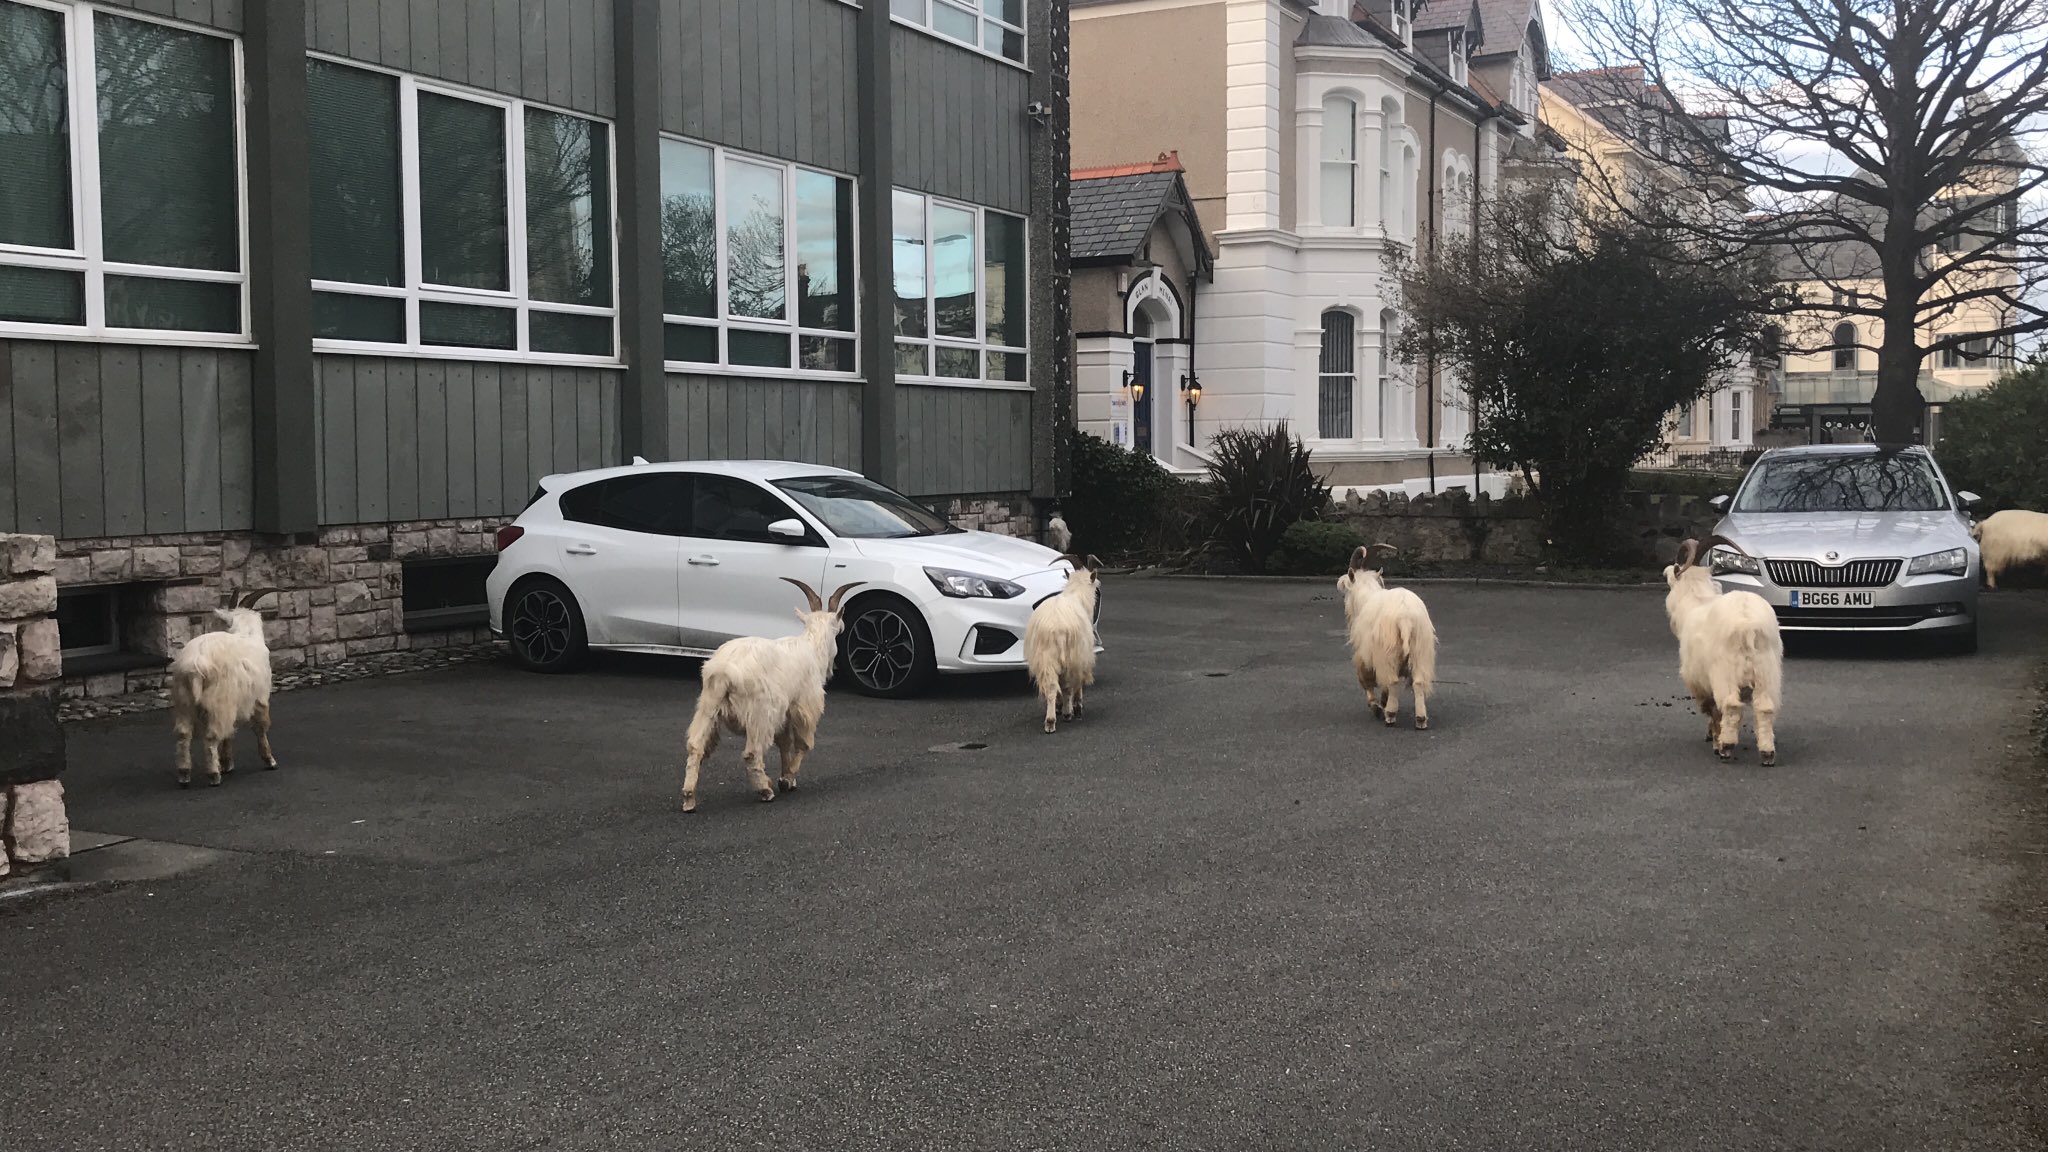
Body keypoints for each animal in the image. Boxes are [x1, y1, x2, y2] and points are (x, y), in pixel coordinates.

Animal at [169, 586, 280, 783]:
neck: (246, 635)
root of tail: (195, 667)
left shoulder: (234, 703)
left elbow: (228, 733)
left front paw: (227, 763)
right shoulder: (259, 697)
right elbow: (260, 728)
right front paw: (269, 760)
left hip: (184, 701)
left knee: (184, 734)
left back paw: (184, 773)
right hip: (218, 701)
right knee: (211, 736)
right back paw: (214, 774)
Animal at [679, 573, 856, 807]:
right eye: (840, 630)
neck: (811, 647)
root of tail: (724, 671)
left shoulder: (785, 712)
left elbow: (784, 743)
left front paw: (788, 779)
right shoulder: (804, 705)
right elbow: (803, 744)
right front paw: (787, 778)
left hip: (709, 706)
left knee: (695, 745)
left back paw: (689, 798)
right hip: (760, 713)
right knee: (752, 753)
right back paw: (765, 789)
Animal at [1024, 553, 1105, 729]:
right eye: (1096, 586)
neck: (1077, 596)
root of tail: (1056, 628)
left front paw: (1059, 707)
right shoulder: (1082, 656)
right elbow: (1077, 684)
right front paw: (1077, 707)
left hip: (1045, 657)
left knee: (1051, 686)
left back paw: (1050, 720)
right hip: (1070, 655)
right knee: (1067, 686)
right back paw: (1066, 714)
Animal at [1327, 541, 1441, 725]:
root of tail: (1405, 617)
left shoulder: (1364, 654)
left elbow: (1367, 679)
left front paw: (1376, 706)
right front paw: (1382, 702)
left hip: (1388, 650)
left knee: (1392, 681)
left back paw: (1391, 715)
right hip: (1420, 649)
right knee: (1418, 682)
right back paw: (1420, 719)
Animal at [1654, 537, 1785, 762]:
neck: (1695, 603)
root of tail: (1748, 625)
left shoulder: (1700, 681)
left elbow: (1714, 711)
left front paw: (1716, 740)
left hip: (1725, 672)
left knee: (1731, 706)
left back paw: (1727, 747)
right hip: (1766, 672)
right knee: (1765, 708)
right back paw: (1767, 752)